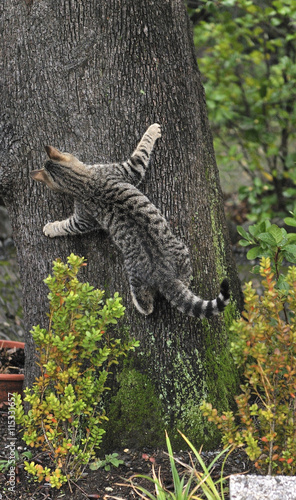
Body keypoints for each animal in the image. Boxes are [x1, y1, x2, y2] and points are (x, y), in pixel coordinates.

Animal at [30, 125, 229, 320]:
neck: (83, 181)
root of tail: (165, 273)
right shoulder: (123, 175)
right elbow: (142, 149)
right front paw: (50, 228)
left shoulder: (117, 176)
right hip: (142, 272)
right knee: (148, 304)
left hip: (174, 255)